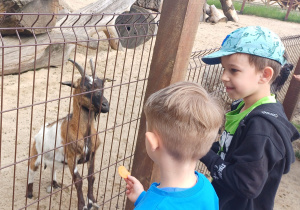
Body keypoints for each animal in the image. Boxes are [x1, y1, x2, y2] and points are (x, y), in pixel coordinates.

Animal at [26, 58, 109, 209]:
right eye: (85, 88)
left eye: (102, 85)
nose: (106, 105)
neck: (80, 130)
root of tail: (39, 132)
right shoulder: (71, 158)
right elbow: (78, 181)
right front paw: (82, 205)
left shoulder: (92, 155)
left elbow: (91, 177)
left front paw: (92, 201)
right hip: (35, 154)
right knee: (31, 169)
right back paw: (29, 194)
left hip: (54, 159)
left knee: (52, 168)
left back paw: (55, 184)